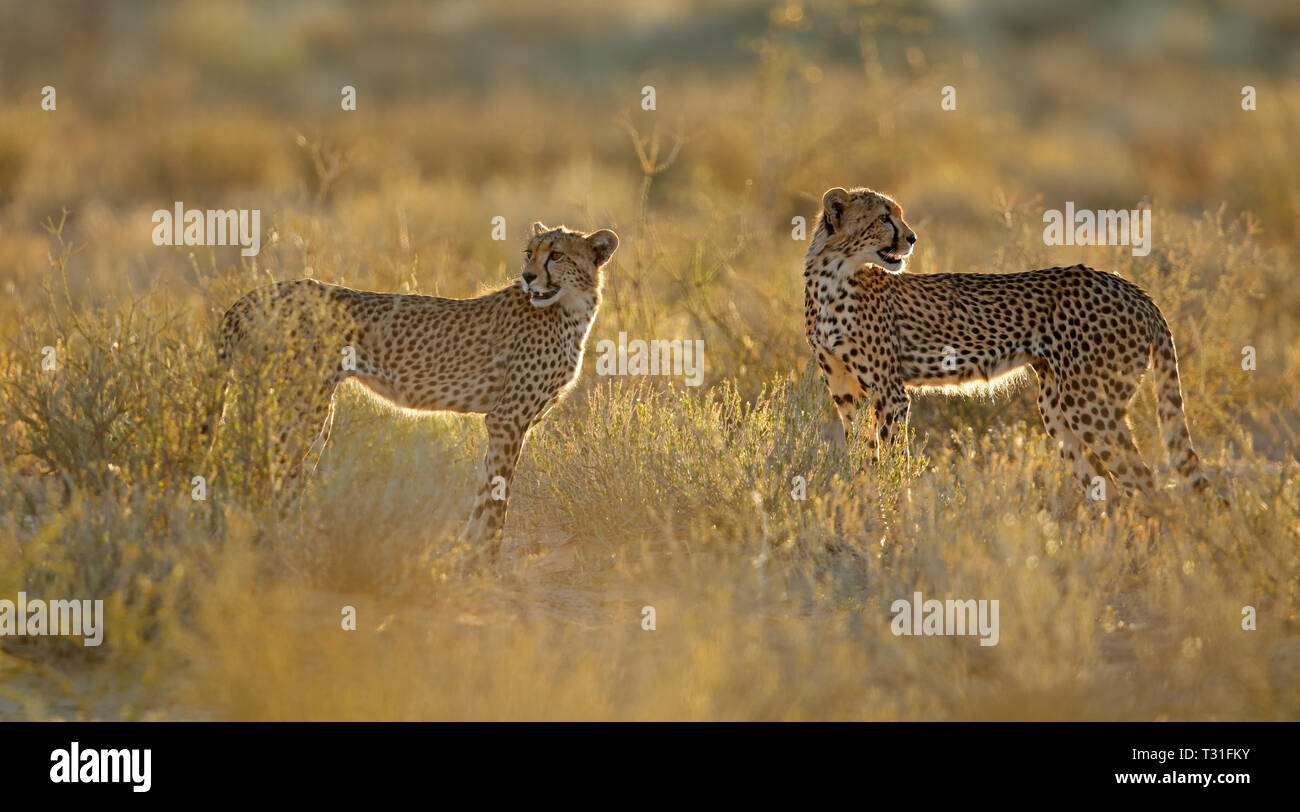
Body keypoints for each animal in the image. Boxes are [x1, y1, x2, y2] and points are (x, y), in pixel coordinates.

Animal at [208, 222, 618, 550]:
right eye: (530, 253)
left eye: (557, 255)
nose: (528, 277)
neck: (571, 309)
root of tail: (256, 293)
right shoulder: (507, 419)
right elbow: (498, 499)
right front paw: (485, 560)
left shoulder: (509, 421)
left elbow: (486, 490)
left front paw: (468, 552)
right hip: (303, 406)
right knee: (264, 472)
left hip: (312, 412)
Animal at [800, 187, 1206, 496]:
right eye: (884, 217)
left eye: (896, 215)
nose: (912, 238)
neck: (833, 276)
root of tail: (1133, 288)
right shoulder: (846, 394)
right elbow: (859, 452)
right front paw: (859, 496)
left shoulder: (889, 393)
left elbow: (886, 459)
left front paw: (888, 504)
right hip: (1058, 408)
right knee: (1110, 489)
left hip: (1089, 403)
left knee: (1145, 484)